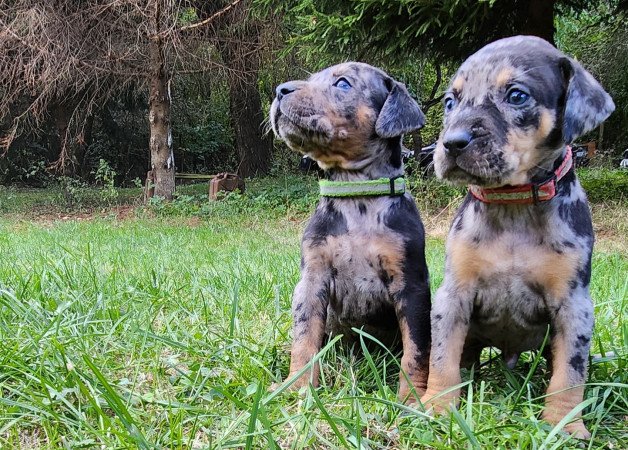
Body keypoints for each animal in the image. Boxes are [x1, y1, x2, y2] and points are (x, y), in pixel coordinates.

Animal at [270, 60, 432, 400]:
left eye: (342, 84)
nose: (279, 90)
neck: (356, 192)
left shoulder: (411, 285)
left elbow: (416, 349)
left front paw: (412, 398)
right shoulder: (312, 278)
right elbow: (304, 338)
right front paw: (299, 387)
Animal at [420, 36, 616, 440]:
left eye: (517, 95)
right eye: (450, 102)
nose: (452, 143)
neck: (512, 204)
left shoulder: (574, 304)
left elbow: (570, 373)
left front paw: (564, 425)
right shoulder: (453, 294)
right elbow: (443, 358)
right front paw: (437, 408)